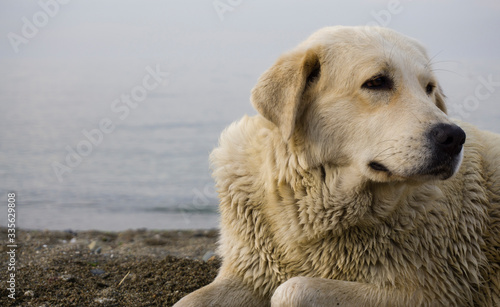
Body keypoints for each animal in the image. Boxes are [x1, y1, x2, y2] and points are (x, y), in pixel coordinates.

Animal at [175, 25, 500, 306]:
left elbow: (291, 290)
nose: (453, 137)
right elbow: (187, 302)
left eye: (429, 88)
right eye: (377, 82)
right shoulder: (249, 271)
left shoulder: (430, 292)